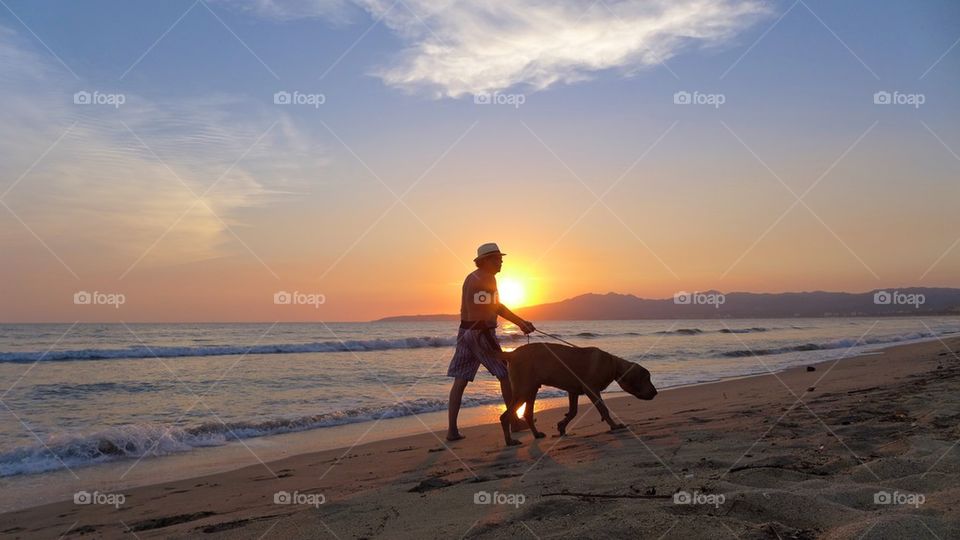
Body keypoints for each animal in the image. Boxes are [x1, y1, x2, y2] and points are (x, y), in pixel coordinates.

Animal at [498, 344, 656, 446]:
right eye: (647, 378)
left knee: (528, 414)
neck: (613, 364)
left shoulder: (573, 391)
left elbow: (573, 411)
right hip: (524, 390)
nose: (655, 392)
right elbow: (603, 409)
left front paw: (562, 425)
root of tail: (512, 353)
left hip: (531, 390)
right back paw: (510, 441)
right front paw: (614, 426)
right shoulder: (591, 389)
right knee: (505, 416)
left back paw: (536, 434)